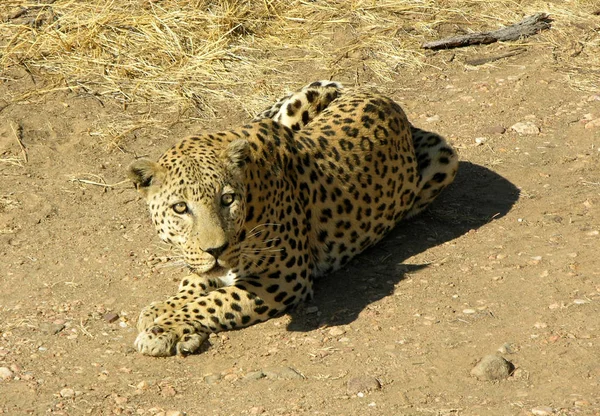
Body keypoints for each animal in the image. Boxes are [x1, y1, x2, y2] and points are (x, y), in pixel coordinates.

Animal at [127, 81, 454, 358]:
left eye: (227, 200)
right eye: (180, 208)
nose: (216, 250)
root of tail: (386, 99)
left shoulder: (282, 278)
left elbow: (212, 302)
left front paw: (164, 327)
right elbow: (193, 281)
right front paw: (162, 310)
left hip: (444, 156)